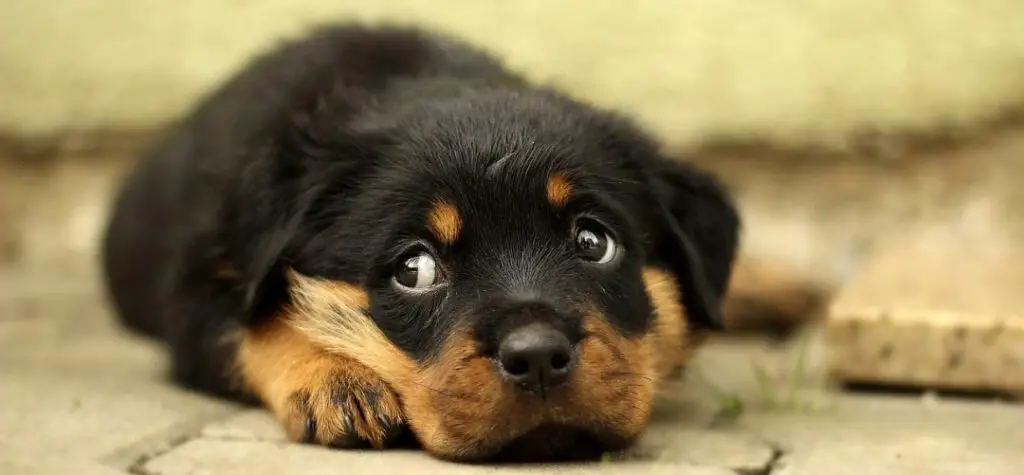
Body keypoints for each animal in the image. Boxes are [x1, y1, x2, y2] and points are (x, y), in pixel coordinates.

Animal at [101, 24, 745, 462]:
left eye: (594, 242)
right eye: (415, 269)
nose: (537, 356)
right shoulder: (201, 285)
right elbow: (254, 326)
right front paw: (334, 381)